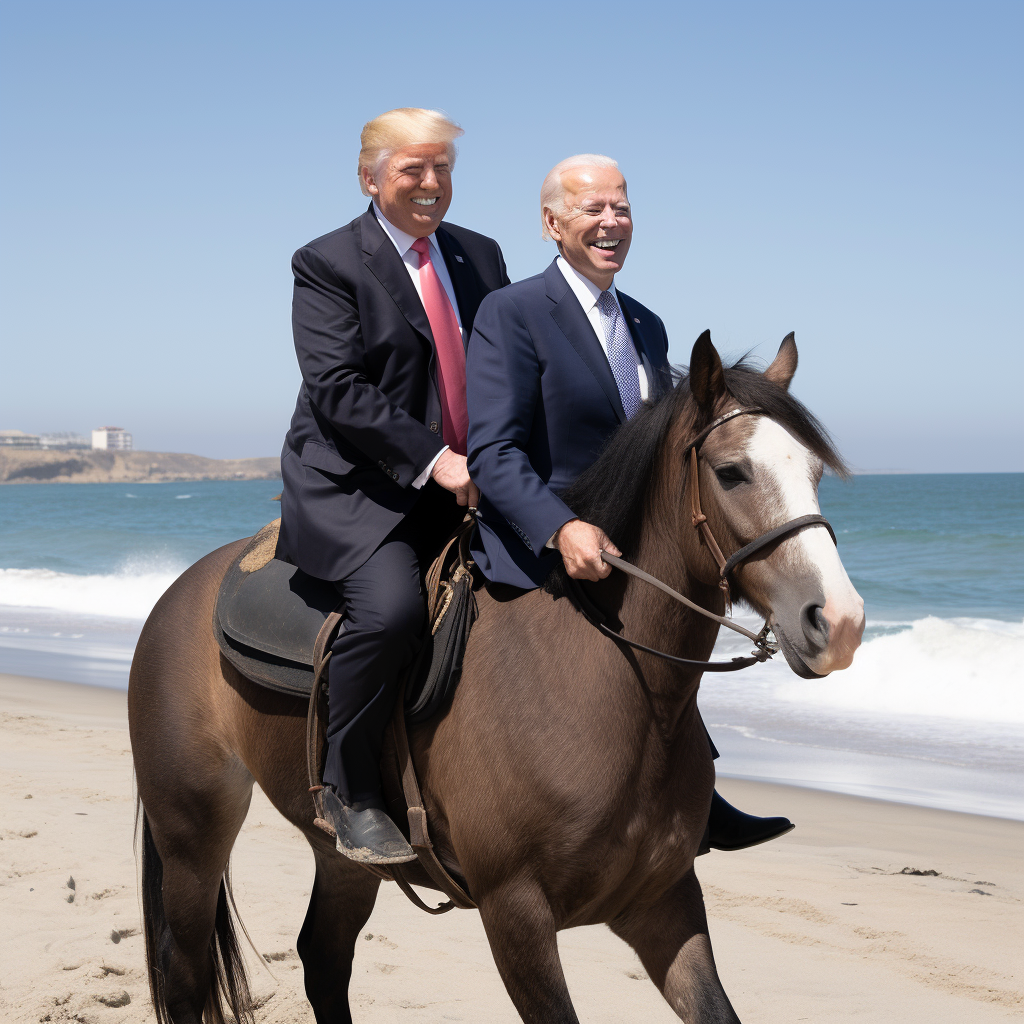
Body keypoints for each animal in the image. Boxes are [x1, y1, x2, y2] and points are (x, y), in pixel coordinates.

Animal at [128, 331, 864, 1019]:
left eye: (814, 473)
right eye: (732, 472)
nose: (841, 622)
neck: (607, 685)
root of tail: (182, 590)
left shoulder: (664, 903)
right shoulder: (514, 914)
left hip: (340, 860)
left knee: (323, 959)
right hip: (191, 834)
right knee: (187, 977)